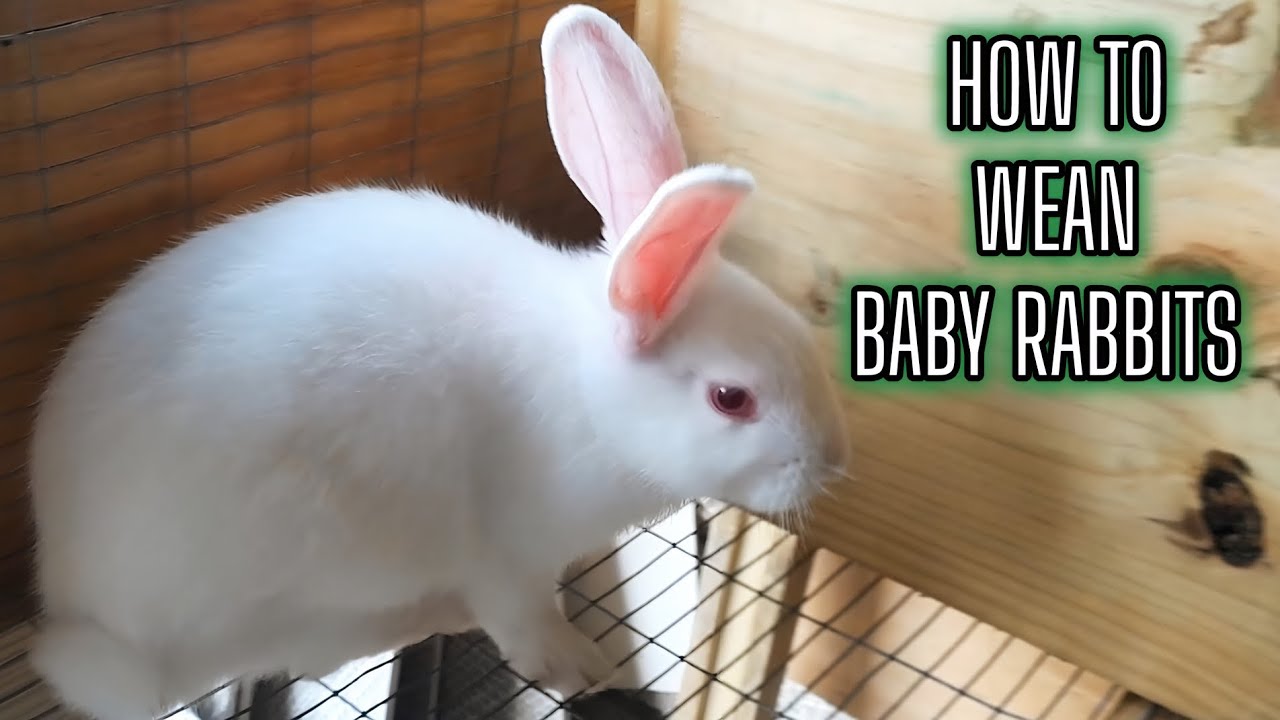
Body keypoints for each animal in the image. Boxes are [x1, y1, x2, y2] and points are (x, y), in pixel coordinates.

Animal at [25, 5, 853, 720]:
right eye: (731, 398)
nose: (831, 464)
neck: (588, 391)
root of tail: (93, 624)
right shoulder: (514, 557)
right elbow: (526, 619)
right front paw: (578, 664)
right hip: (324, 557)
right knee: (311, 650)